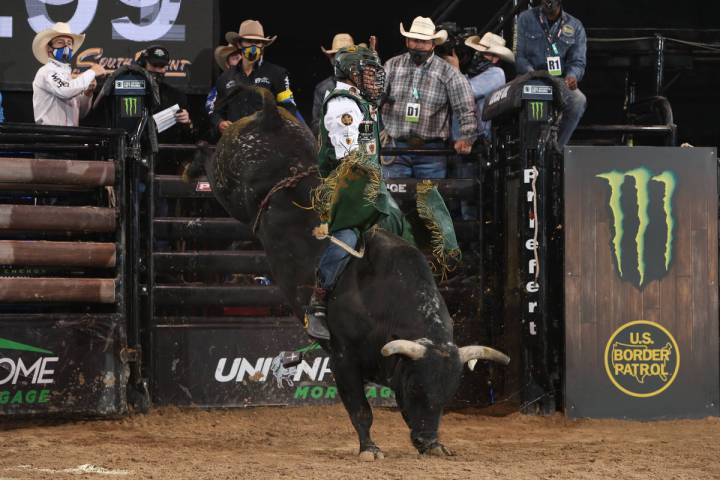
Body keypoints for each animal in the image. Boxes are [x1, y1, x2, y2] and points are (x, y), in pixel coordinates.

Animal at [188, 88, 510, 460]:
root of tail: (269, 115)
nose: (426, 439)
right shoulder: (342, 358)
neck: (383, 301)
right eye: (416, 387)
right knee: (209, 161)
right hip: (229, 188)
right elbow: (360, 410)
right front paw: (369, 448)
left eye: (447, 394)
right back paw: (191, 164)